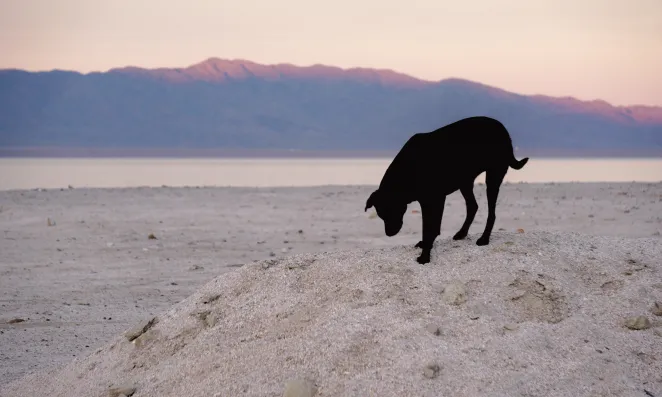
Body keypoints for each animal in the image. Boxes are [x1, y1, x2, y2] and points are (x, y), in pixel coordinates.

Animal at [366, 115, 532, 262]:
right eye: (381, 215)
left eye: (392, 211)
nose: (389, 234)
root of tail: (502, 129)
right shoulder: (428, 201)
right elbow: (430, 226)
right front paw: (425, 245)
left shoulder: (435, 199)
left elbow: (430, 227)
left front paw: (425, 255)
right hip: (465, 181)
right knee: (473, 206)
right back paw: (462, 233)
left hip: (493, 176)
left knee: (491, 212)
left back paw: (484, 238)